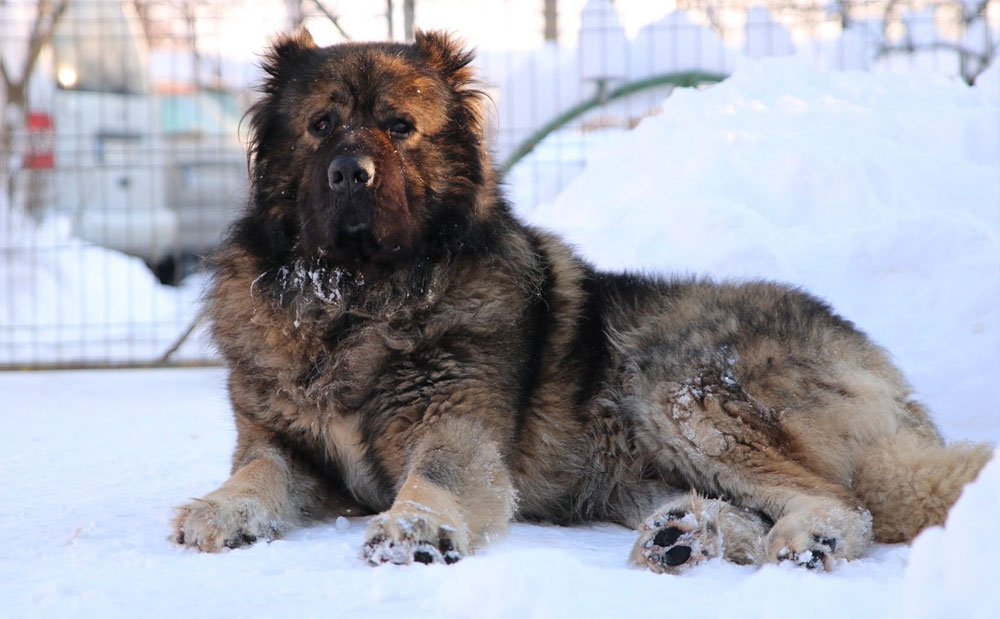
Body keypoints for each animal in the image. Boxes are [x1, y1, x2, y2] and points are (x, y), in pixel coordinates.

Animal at [172, 30, 992, 572]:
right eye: (321, 126)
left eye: (400, 127)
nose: (350, 173)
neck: (354, 302)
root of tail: (888, 381)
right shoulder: (281, 442)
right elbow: (255, 474)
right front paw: (218, 507)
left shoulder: (455, 429)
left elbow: (436, 477)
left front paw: (415, 529)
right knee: (750, 510)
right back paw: (685, 536)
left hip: (678, 386)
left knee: (843, 502)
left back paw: (799, 539)